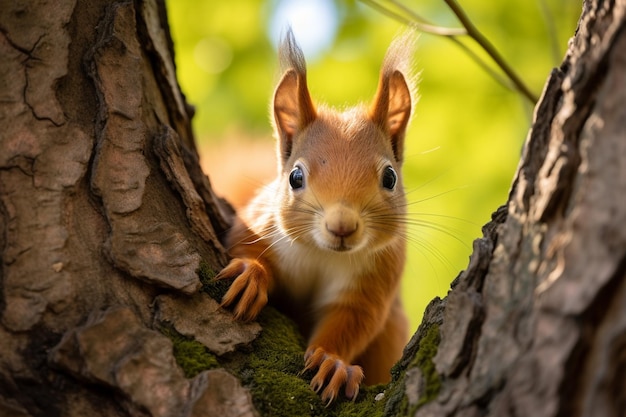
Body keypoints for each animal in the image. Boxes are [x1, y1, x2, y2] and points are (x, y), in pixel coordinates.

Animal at [216, 30, 414, 404]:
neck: (323, 255)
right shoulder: (260, 223)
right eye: (295, 176)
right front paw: (251, 274)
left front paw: (332, 362)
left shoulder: (374, 280)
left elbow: (351, 323)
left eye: (390, 177)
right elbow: (244, 246)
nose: (342, 226)